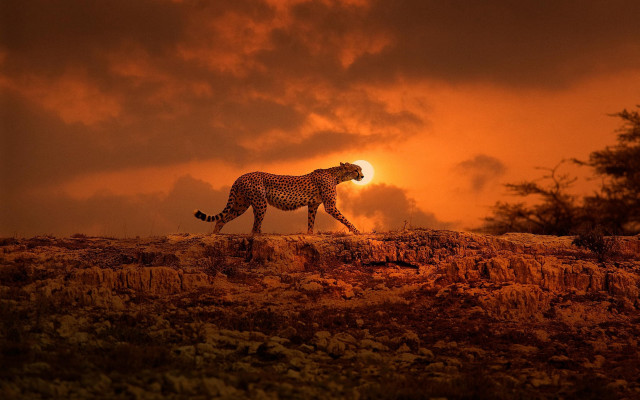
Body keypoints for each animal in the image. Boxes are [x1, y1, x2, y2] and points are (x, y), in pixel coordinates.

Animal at [194, 162, 364, 234]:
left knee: (222, 219)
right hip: (260, 202)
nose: (362, 176)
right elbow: (345, 219)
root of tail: (242, 175)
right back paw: (259, 235)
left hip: (241, 205)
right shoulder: (330, 206)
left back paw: (215, 235)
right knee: (254, 227)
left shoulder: (313, 205)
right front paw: (356, 231)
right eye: (356, 169)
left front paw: (310, 234)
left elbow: (311, 221)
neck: (336, 175)